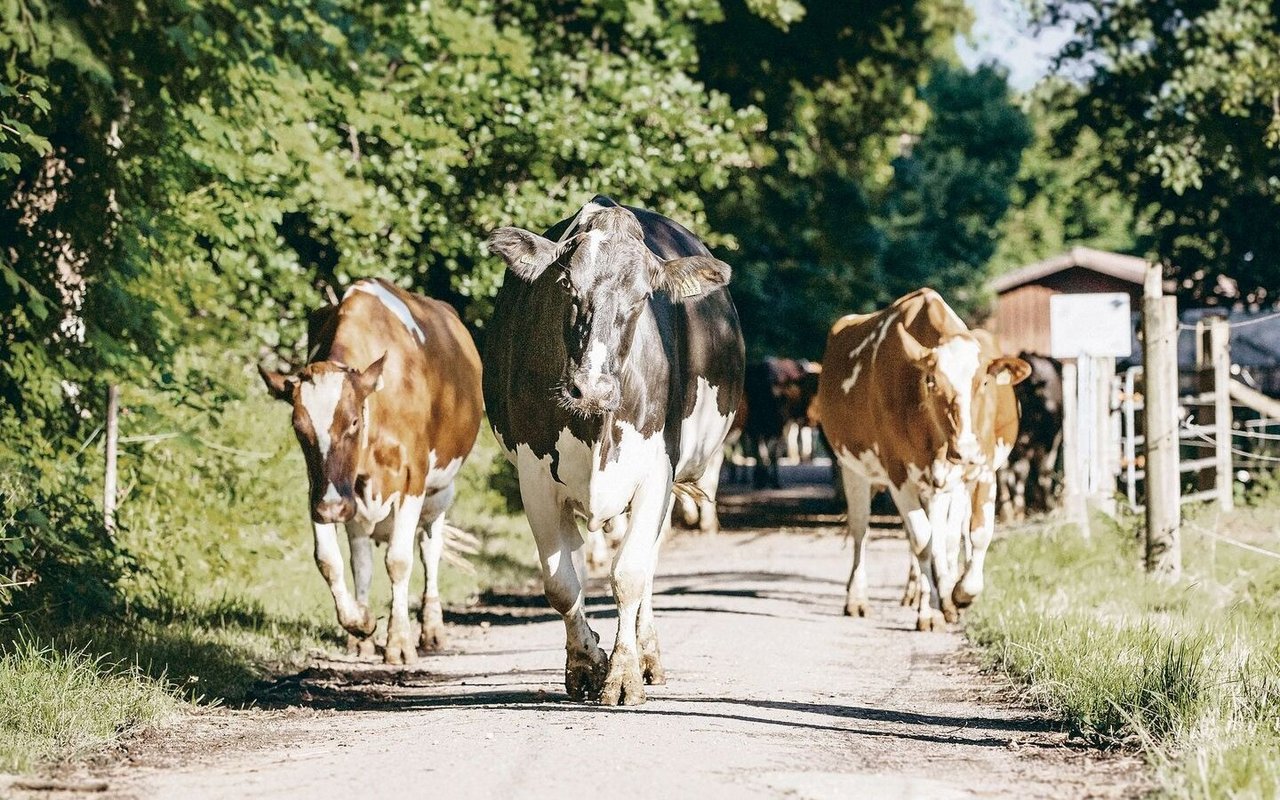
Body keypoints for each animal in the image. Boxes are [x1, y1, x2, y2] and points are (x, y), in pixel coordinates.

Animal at [259, 277, 483, 665]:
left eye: (352, 421)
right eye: (298, 427)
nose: (333, 507)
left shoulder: (413, 478)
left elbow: (400, 560)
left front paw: (399, 642)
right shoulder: (321, 488)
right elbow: (329, 560)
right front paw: (360, 621)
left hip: (441, 491)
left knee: (430, 549)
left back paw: (431, 629)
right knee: (361, 558)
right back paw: (361, 637)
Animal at [481, 197, 747, 701]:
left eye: (643, 296)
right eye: (566, 285)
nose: (591, 387)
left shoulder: (656, 473)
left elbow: (629, 575)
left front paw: (624, 672)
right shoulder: (534, 476)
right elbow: (561, 583)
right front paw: (587, 663)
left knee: (647, 565)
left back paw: (648, 654)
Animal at [814, 286, 1024, 629]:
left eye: (984, 382)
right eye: (932, 382)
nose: (964, 448)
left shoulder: (981, 469)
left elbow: (975, 534)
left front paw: (960, 594)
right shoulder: (898, 473)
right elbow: (923, 540)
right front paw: (931, 611)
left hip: (944, 485)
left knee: (946, 535)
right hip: (852, 468)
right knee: (862, 530)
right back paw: (859, 597)